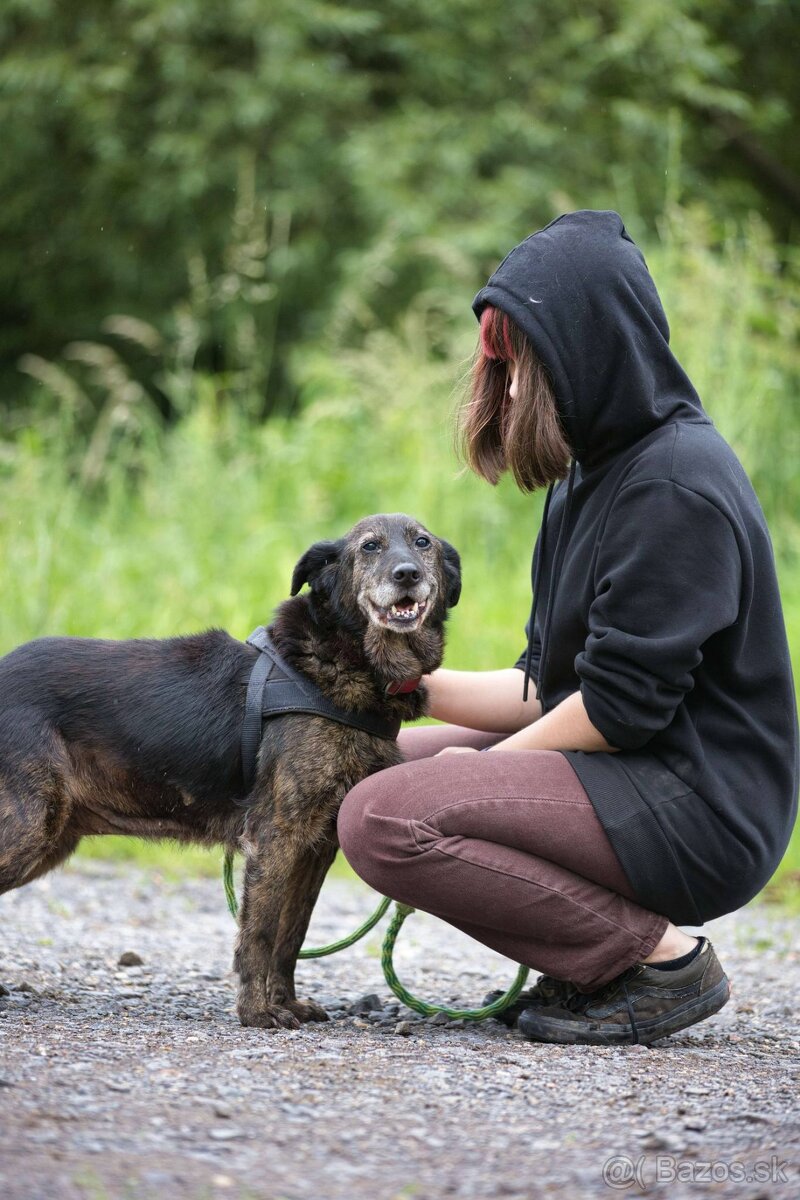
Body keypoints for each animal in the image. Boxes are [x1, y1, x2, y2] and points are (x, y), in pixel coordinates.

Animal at [0, 511, 460, 1027]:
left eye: (422, 543)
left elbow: (291, 935)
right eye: (370, 546)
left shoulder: (318, 845)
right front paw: (258, 1012)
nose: (407, 574)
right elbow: (260, 933)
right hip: (29, 826)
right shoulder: (276, 834)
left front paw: (286, 1002)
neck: (345, 662)